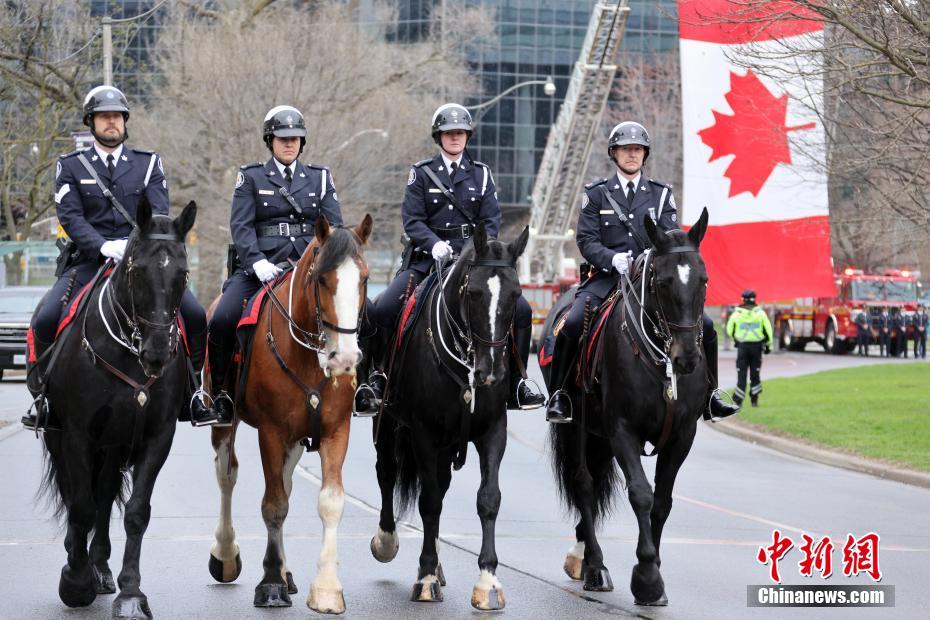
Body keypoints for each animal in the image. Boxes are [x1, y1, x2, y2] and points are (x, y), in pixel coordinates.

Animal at [34, 200, 196, 620]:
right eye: (137, 270)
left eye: (183, 273)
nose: (158, 352)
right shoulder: (76, 434)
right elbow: (80, 506)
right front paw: (76, 582)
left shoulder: (158, 436)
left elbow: (135, 512)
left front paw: (131, 593)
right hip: (70, 438)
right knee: (80, 496)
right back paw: (83, 565)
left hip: (115, 444)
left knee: (105, 495)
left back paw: (102, 567)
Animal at [206, 216, 370, 612]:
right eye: (322, 279)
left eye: (364, 278)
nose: (344, 359)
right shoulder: (271, 431)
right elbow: (274, 505)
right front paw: (269, 584)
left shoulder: (335, 431)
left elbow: (329, 502)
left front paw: (325, 588)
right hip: (226, 424)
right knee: (227, 476)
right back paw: (226, 554)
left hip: (297, 439)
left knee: (285, 482)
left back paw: (285, 569)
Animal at [370, 224, 528, 612]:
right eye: (473, 293)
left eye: (516, 293)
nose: (492, 372)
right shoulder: (424, 433)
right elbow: (428, 502)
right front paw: (425, 577)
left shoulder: (492, 430)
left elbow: (488, 499)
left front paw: (487, 580)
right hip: (388, 423)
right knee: (387, 473)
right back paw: (387, 541)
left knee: (439, 486)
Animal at [544, 208, 712, 604]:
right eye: (663, 282)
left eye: (704, 280)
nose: (687, 358)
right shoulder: (623, 430)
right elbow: (641, 494)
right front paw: (647, 575)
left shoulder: (682, 436)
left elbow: (663, 500)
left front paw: (655, 571)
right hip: (579, 428)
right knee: (584, 484)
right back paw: (594, 565)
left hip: (600, 438)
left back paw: (583, 556)